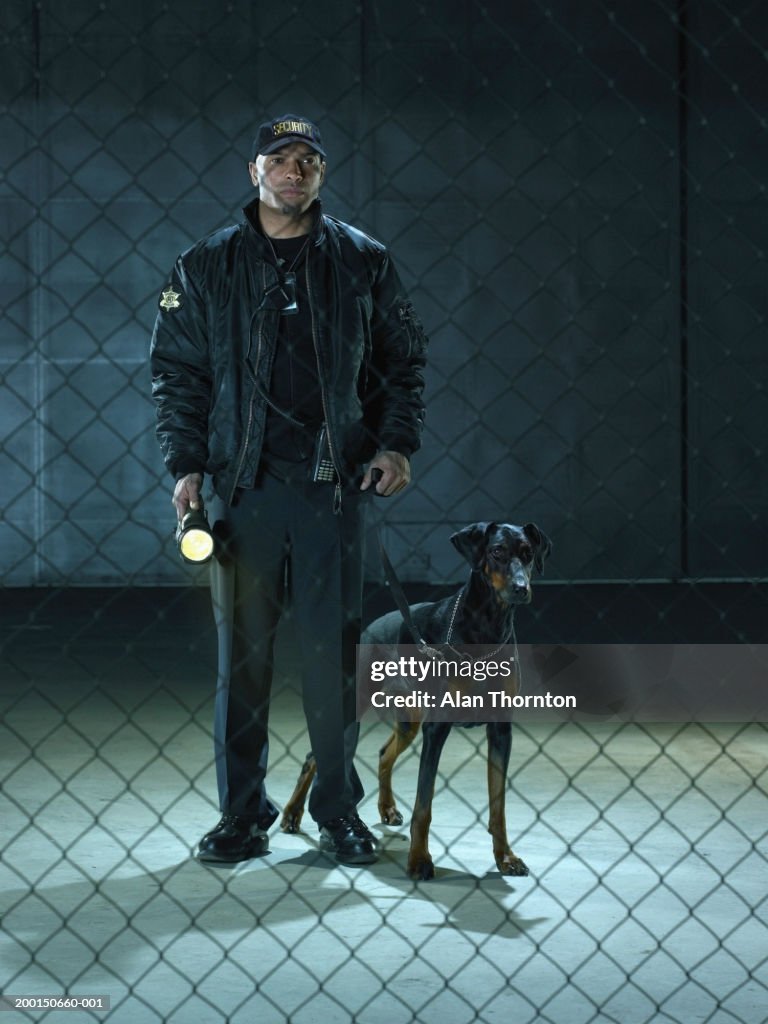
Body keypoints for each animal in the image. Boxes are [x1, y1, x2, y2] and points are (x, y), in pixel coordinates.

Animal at [282, 520, 552, 880]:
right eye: (496, 552)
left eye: (528, 553)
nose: (521, 589)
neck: (486, 627)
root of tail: (371, 627)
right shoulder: (436, 728)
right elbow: (424, 804)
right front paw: (419, 860)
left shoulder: (500, 729)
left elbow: (499, 806)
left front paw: (505, 857)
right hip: (358, 702)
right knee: (316, 756)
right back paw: (291, 814)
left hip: (409, 717)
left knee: (384, 754)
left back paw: (387, 808)